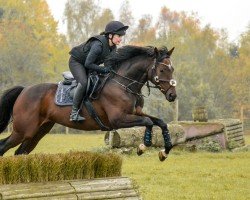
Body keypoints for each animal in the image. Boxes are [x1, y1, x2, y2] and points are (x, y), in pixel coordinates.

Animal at [0, 45, 177, 161]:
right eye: (162, 70)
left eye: (172, 69)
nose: (172, 95)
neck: (123, 84)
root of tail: (24, 90)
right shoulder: (118, 120)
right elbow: (148, 122)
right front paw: (142, 147)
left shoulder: (135, 113)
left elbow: (160, 122)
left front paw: (165, 151)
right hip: (23, 130)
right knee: (4, 146)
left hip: (38, 131)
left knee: (20, 152)